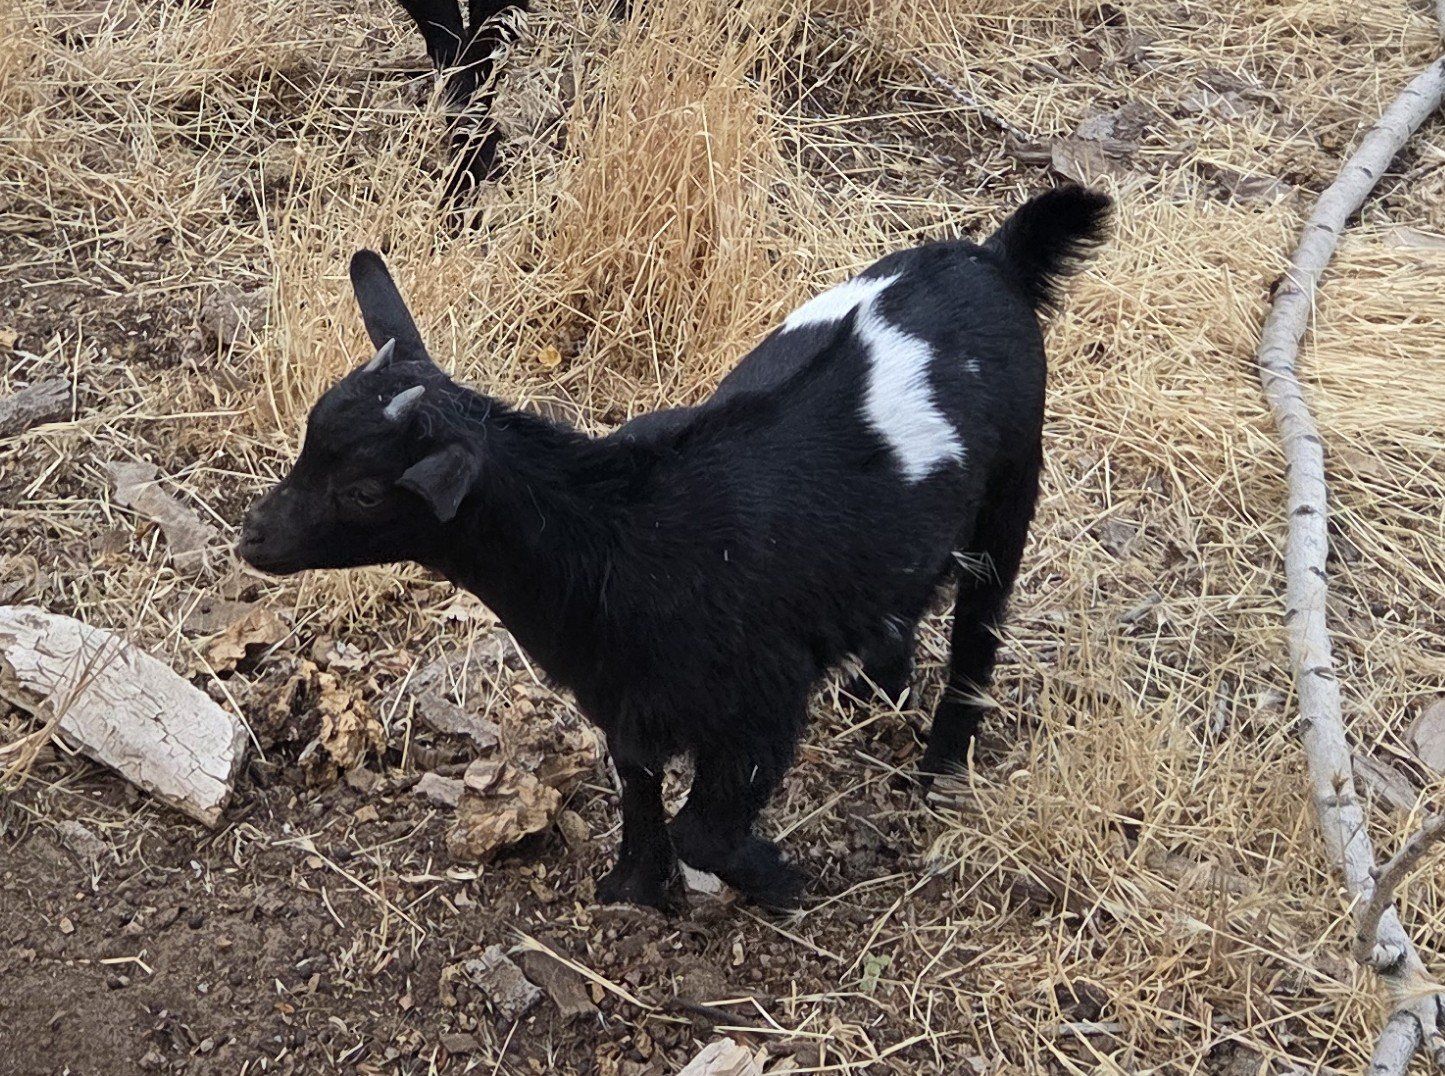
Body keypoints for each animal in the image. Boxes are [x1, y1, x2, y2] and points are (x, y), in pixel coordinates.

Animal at [238, 185, 1111, 909]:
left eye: (362, 491)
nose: (252, 536)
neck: (617, 538)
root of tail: (992, 259)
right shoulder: (619, 688)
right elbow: (638, 782)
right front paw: (633, 886)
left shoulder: (762, 702)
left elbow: (703, 828)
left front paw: (778, 880)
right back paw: (877, 689)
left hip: (1012, 482)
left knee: (979, 623)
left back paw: (941, 769)